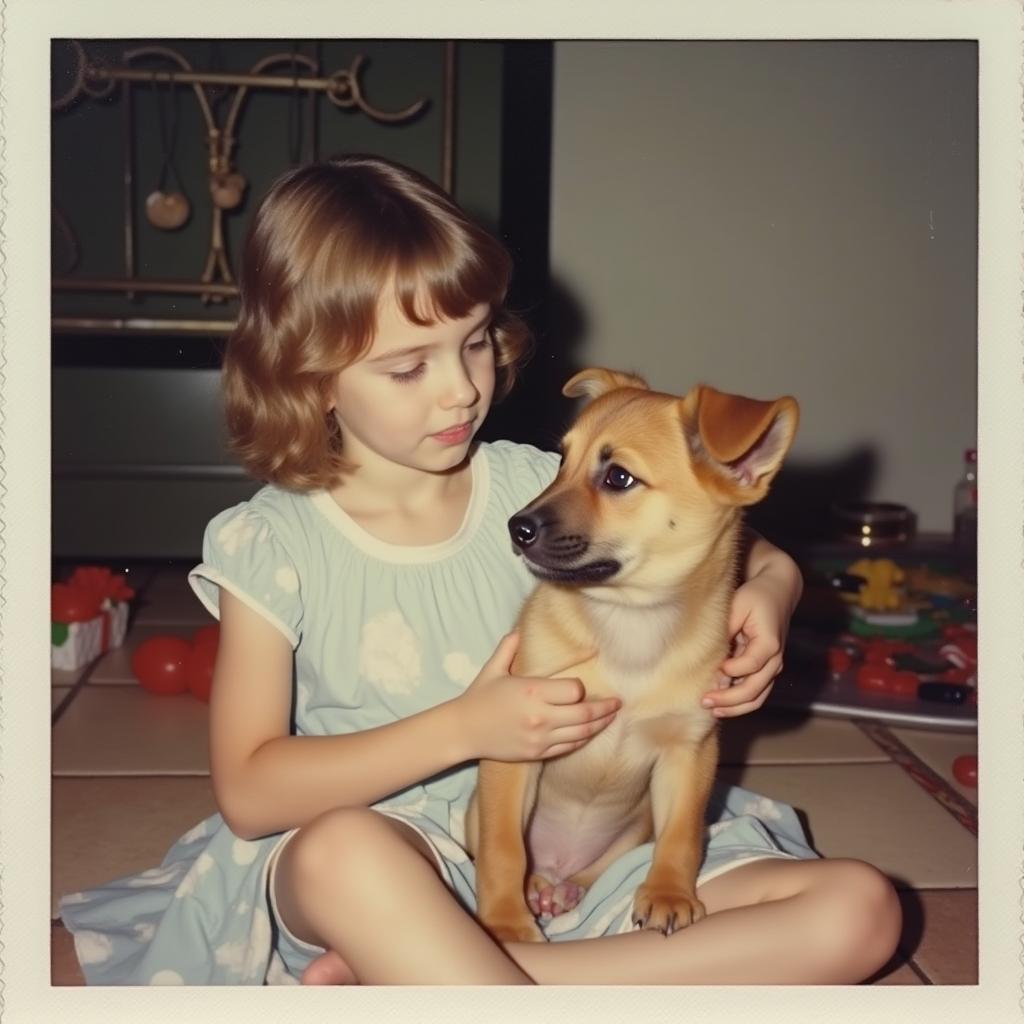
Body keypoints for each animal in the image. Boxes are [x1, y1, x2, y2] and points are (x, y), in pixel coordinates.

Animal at [464, 368, 798, 942]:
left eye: (618, 478)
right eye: (561, 460)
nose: (517, 528)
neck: (631, 624)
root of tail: (557, 866)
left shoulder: (689, 752)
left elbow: (683, 836)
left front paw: (669, 894)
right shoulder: (514, 754)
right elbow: (503, 849)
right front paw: (505, 921)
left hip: (634, 827)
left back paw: (567, 889)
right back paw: (535, 890)